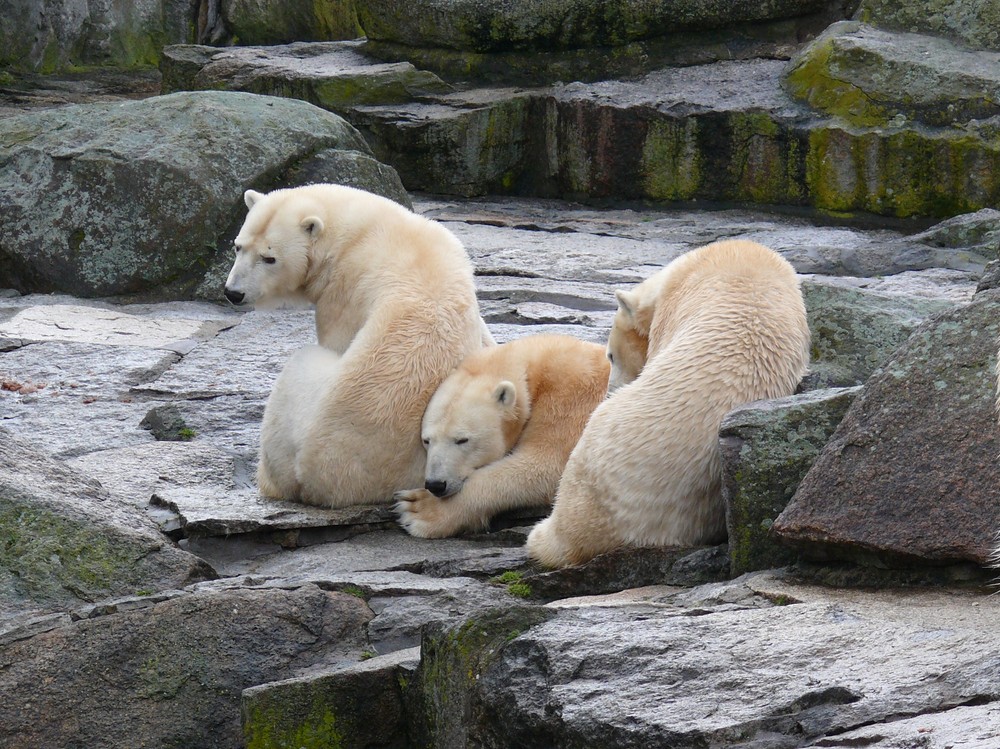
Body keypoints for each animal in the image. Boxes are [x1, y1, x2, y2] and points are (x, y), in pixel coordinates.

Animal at [390, 334, 608, 536]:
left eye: (462, 440)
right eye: (426, 440)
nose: (436, 484)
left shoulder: (571, 402)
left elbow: (544, 465)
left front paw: (416, 508)